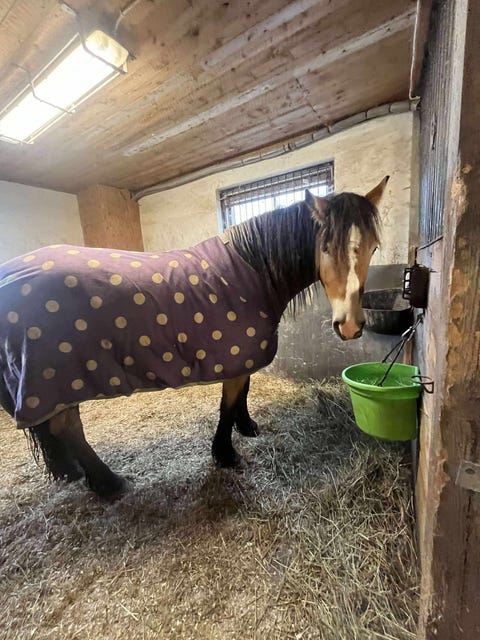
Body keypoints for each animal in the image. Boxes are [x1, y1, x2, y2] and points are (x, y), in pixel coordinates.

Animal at [0, 176, 388, 499]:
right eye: (326, 247)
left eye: (373, 248)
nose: (350, 325)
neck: (253, 270)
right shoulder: (235, 357)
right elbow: (227, 404)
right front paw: (225, 454)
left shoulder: (243, 358)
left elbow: (243, 395)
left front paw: (247, 428)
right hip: (61, 378)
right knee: (68, 428)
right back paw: (109, 483)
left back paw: (75, 473)